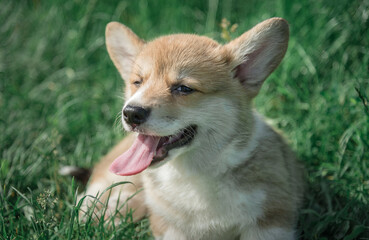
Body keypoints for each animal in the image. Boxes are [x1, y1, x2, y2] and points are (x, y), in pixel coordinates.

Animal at [82, 18, 304, 240]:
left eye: (183, 89)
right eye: (138, 82)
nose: (131, 113)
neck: (193, 174)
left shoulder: (269, 223)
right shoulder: (171, 228)